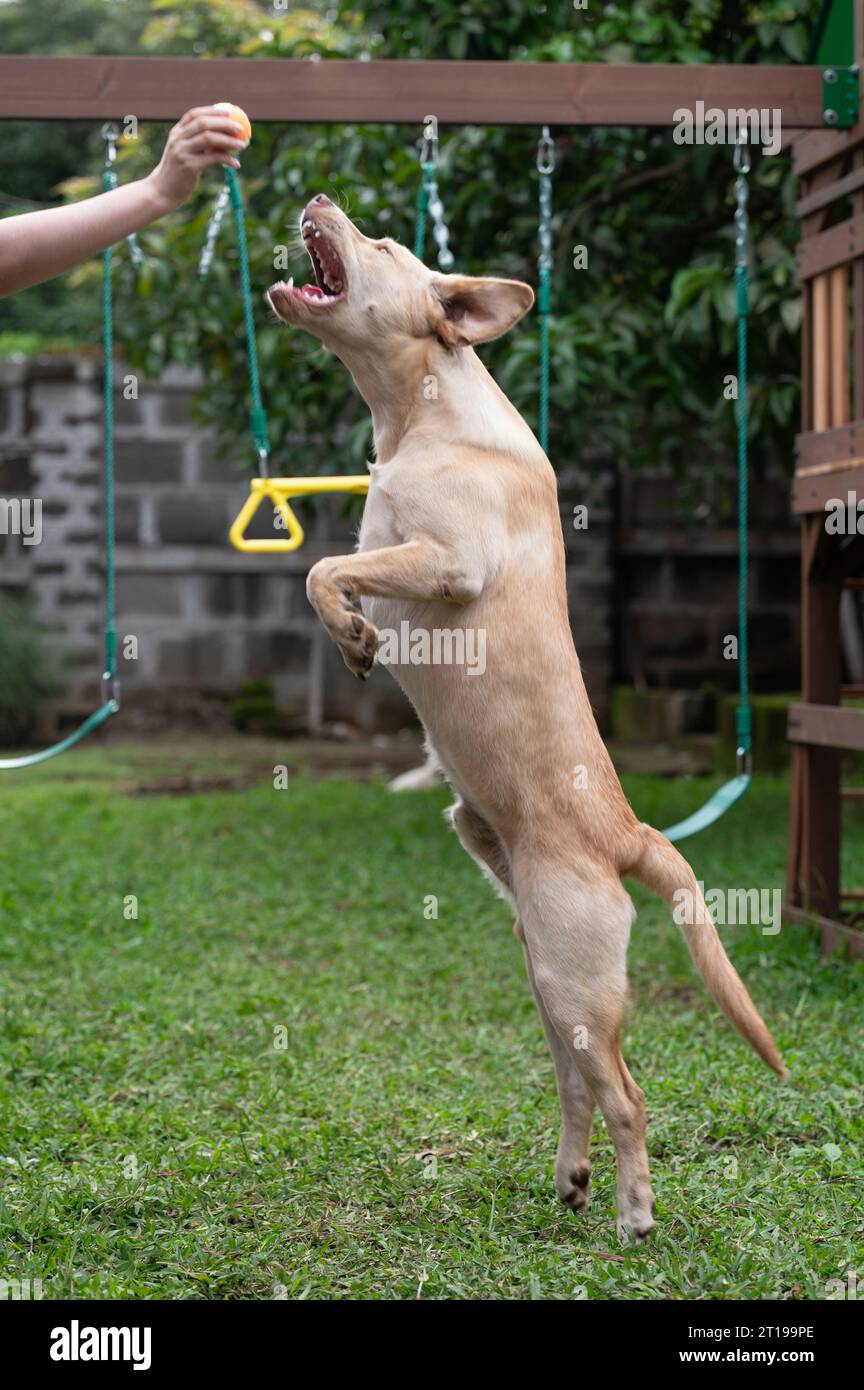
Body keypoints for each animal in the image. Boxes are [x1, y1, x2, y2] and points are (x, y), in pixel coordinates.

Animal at [270, 193, 794, 1239]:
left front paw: (354, 635)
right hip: (547, 978)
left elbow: (324, 570)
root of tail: (627, 832)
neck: (420, 412)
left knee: (627, 1093)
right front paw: (353, 638)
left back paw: (633, 1214)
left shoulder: (448, 560)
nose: (317, 200)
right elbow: (328, 571)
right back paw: (574, 1178)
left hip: (573, 977)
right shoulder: (387, 545)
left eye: (383, 243)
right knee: (579, 1087)